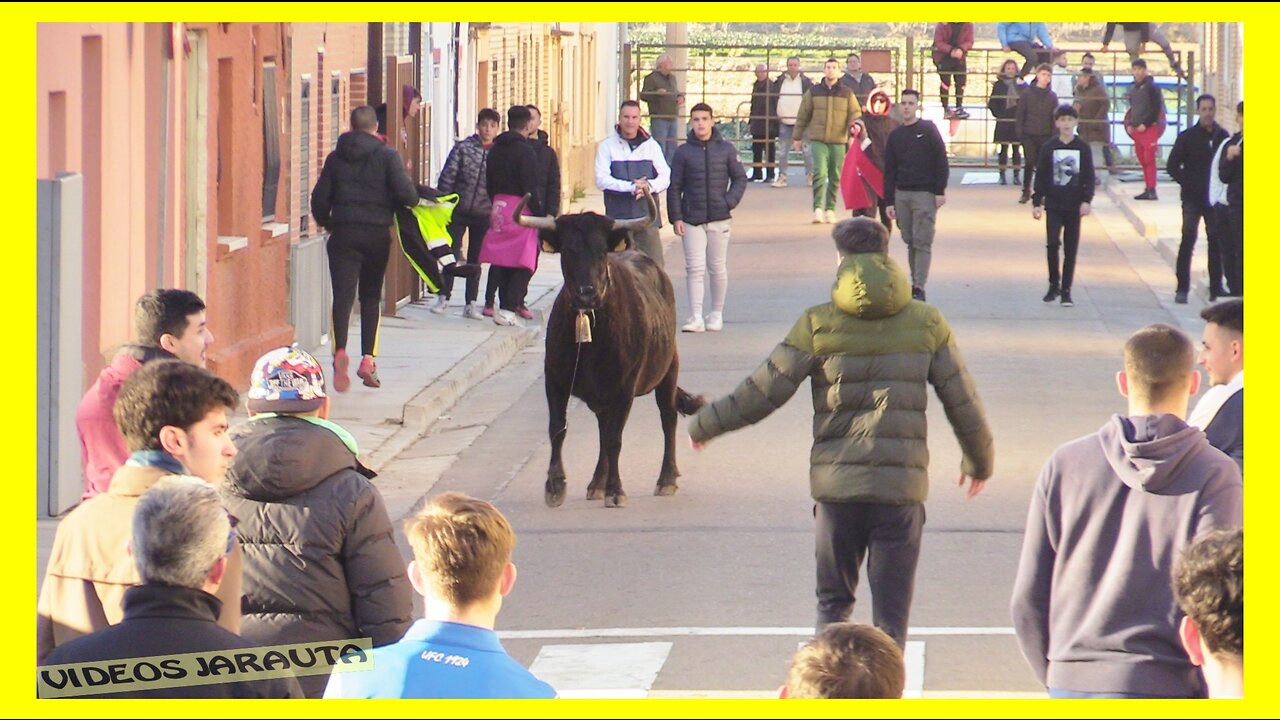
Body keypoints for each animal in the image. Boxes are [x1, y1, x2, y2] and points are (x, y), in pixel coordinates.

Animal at [514, 192, 706, 504]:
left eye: (602, 251)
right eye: (568, 251)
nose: (587, 294)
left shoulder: (624, 386)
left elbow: (615, 438)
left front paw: (616, 490)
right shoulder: (555, 379)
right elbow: (558, 429)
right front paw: (555, 486)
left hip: (669, 369)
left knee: (667, 418)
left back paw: (666, 479)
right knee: (604, 428)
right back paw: (596, 483)